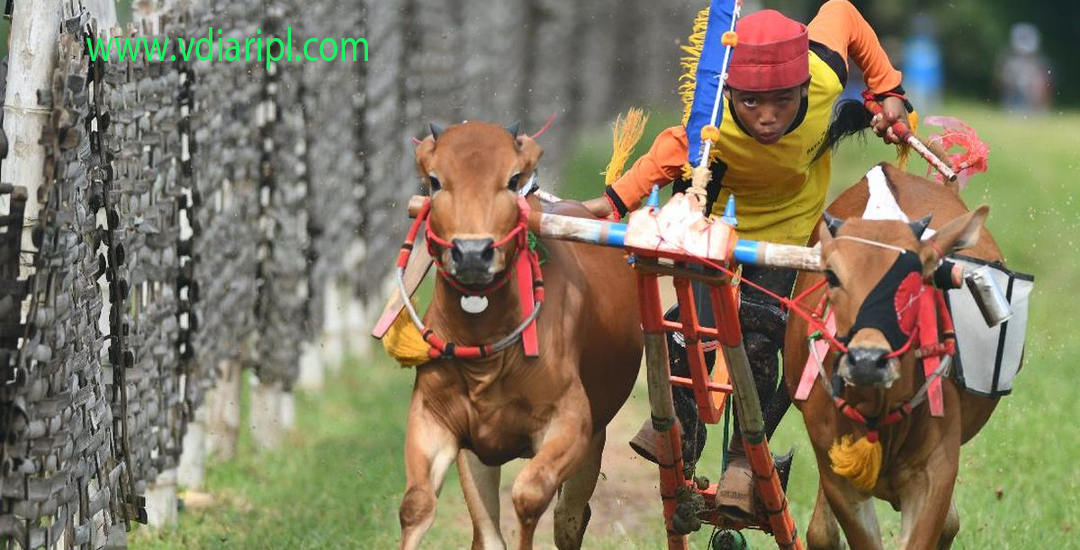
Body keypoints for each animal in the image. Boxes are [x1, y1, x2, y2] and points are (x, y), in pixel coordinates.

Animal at [401, 123, 643, 548]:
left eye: (513, 180)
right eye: (435, 180)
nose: (472, 253)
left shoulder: (571, 421)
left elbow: (530, 495)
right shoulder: (438, 421)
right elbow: (418, 505)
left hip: (595, 438)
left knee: (569, 518)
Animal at [786, 164, 1002, 548]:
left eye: (916, 278)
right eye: (832, 276)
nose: (867, 360)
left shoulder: (935, 471)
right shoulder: (837, 472)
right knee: (822, 532)